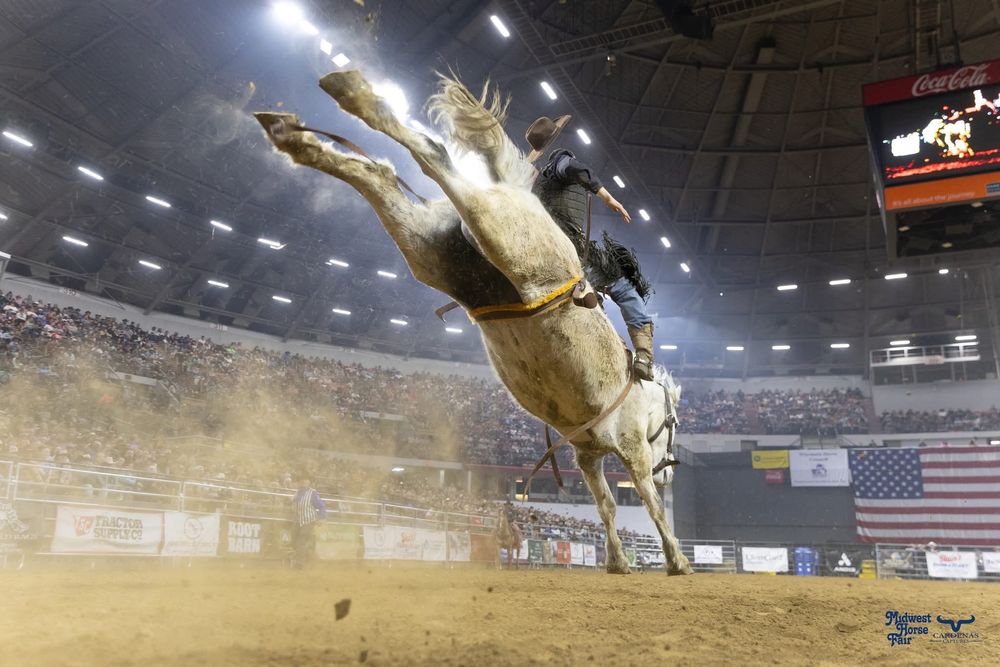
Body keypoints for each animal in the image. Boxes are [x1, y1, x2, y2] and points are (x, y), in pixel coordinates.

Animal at [253, 69, 692, 575]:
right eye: (675, 424)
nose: (669, 469)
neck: (641, 395)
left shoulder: (586, 454)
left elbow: (607, 505)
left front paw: (618, 562)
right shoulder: (631, 448)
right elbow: (648, 503)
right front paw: (677, 559)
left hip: (430, 253)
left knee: (380, 174)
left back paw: (294, 129)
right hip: (504, 234)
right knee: (435, 158)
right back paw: (355, 95)